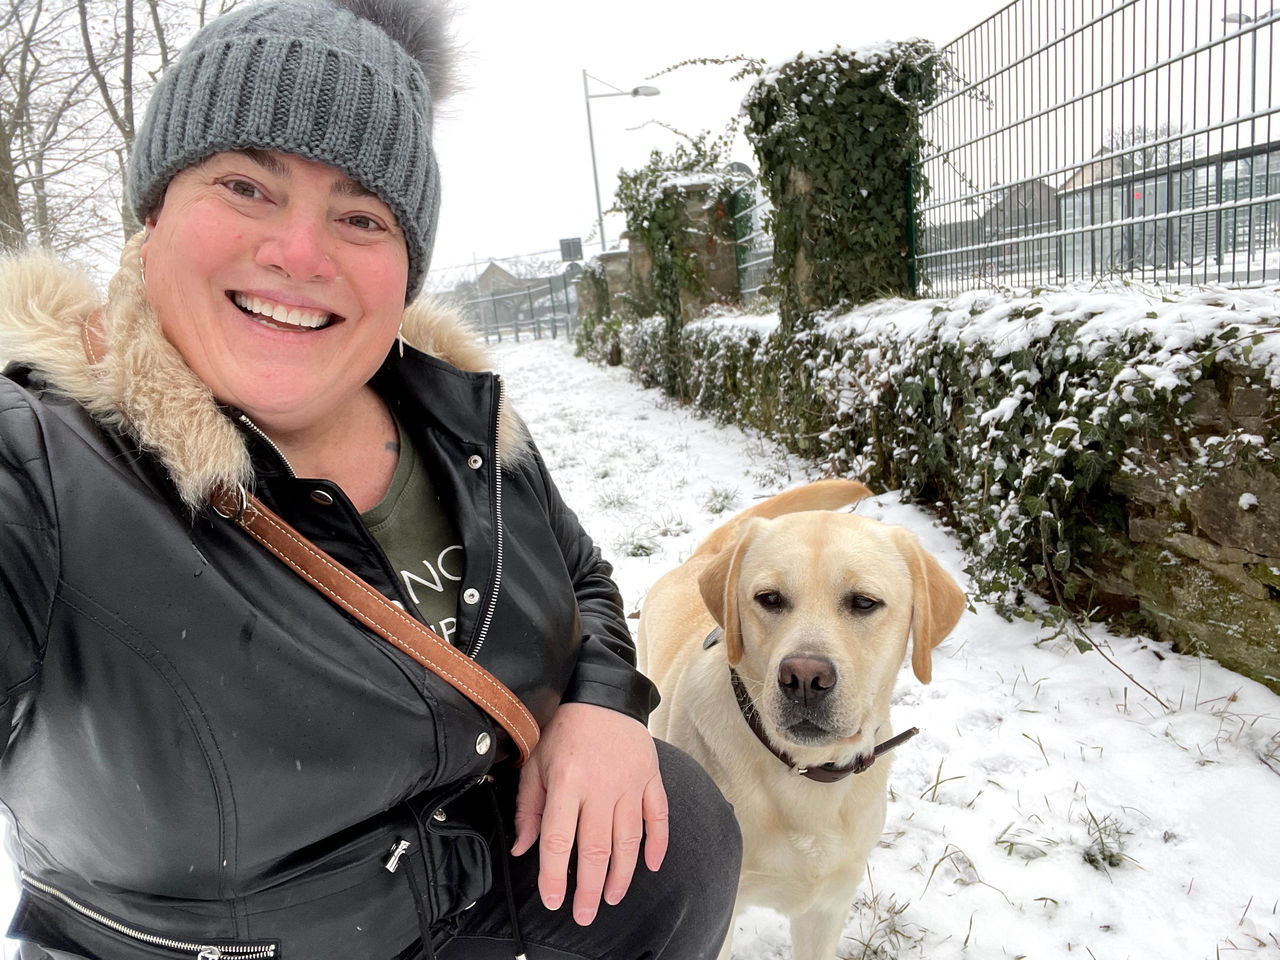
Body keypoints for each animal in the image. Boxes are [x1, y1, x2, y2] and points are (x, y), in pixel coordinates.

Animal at [640, 481, 962, 960]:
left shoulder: (826, 910)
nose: (805, 678)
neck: (807, 776)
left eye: (864, 602)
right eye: (769, 599)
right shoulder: (721, 920)